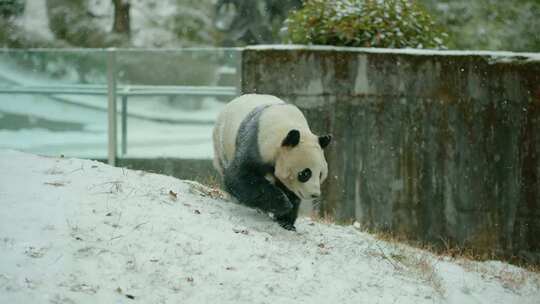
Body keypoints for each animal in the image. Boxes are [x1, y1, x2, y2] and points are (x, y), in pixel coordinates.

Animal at [212, 94, 332, 229]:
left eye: (320, 174)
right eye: (305, 174)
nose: (314, 194)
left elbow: (290, 191)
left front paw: (286, 221)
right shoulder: (255, 145)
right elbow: (239, 177)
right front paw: (283, 204)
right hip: (221, 143)